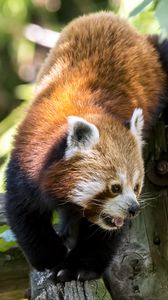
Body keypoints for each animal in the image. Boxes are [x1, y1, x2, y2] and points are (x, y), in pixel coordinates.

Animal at [5, 12, 168, 282]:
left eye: (136, 186)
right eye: (114, 187)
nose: (133, 209)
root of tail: (105, 15)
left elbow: (103, 235)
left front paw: (76, 267)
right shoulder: (27, 159)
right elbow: (24, 213)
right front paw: (49, 256)